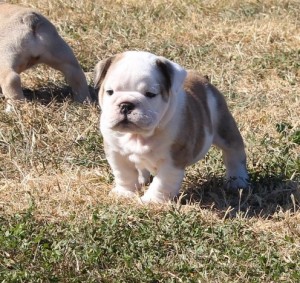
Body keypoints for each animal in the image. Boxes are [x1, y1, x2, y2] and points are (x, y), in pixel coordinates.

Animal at [95, 51, 250, 204]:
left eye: (150, 94)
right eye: (109, 92)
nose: (126, 105)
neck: (138, 135)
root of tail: (202, 79)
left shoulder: (173, 159)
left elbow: (162, 182)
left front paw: (152, 201)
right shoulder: (116, 153)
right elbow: (124, 174)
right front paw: (124, 193)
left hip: (224, 127)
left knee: (234, 152)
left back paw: (237, 181)